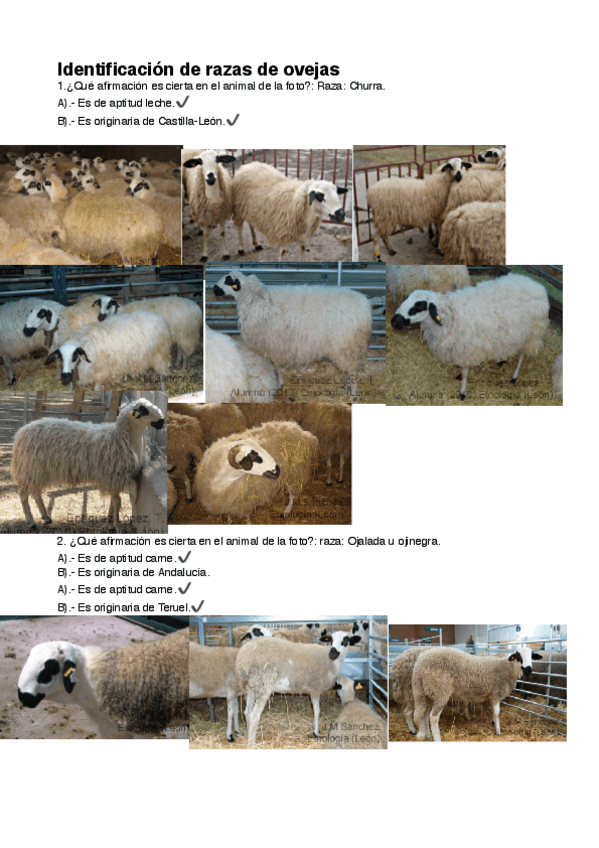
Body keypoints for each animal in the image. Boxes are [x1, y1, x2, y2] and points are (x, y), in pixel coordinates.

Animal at [11, 397, 165, 532]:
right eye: (144, 410)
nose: (162, 421)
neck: (122, 439)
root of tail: (21, 432)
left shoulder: (113, 479)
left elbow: (113, 501)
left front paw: (110, 523)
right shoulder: (115, 476)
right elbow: (117, 502)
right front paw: (117, 527)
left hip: (37, 471)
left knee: (36, 493)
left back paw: (46, 517)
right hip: (29, 469)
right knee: (24, 495)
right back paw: (31, 521)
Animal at [213, 271, 372, 401]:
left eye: (228, 280)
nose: (214, 288)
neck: (256, 300)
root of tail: (364, 305)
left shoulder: (272, 343)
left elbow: (276, 366)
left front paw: (279, 383)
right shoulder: (275, 344)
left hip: (346, 346)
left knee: (353, 372)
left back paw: (353, 395)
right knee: (352, 369)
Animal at [391, 273, 550, 400]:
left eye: (419, 306)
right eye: (407, 298)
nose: (394, 321)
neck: (450, 316)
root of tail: (536, 284)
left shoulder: (467, 349)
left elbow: (466, 373)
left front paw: (462, 392)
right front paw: (458, 376)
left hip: (531, 335)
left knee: (522, 356)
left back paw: (514, 376)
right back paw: (502, 360)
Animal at [412, 645, 542, 741]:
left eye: (532, 656)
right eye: (518, 657)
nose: (529, 670)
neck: (508, 669)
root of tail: (420, 663)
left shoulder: (491, 696)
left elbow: (493, 712)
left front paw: (493, 722)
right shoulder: (495, 694)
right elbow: (497, 713)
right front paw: (498, 731)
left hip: (425, 692)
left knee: (424, 714)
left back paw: (427, 735)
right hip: (440, 691)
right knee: (433, 717)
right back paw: (437, 739)